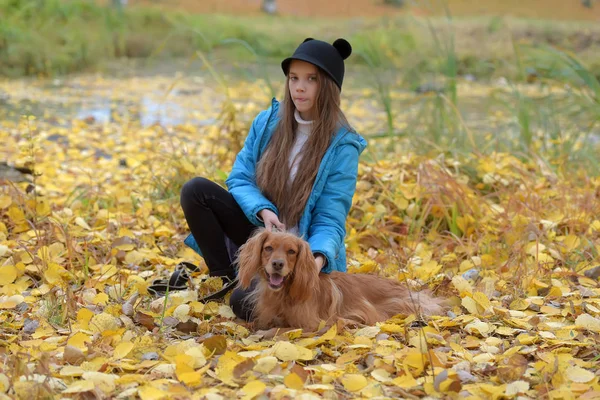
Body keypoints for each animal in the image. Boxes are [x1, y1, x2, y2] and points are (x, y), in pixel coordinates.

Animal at [234, 228, 446, 332]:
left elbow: (281, 330)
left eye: (291, 251)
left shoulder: (312, 324)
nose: (277, 264)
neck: (284, 294)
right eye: (268, 248)